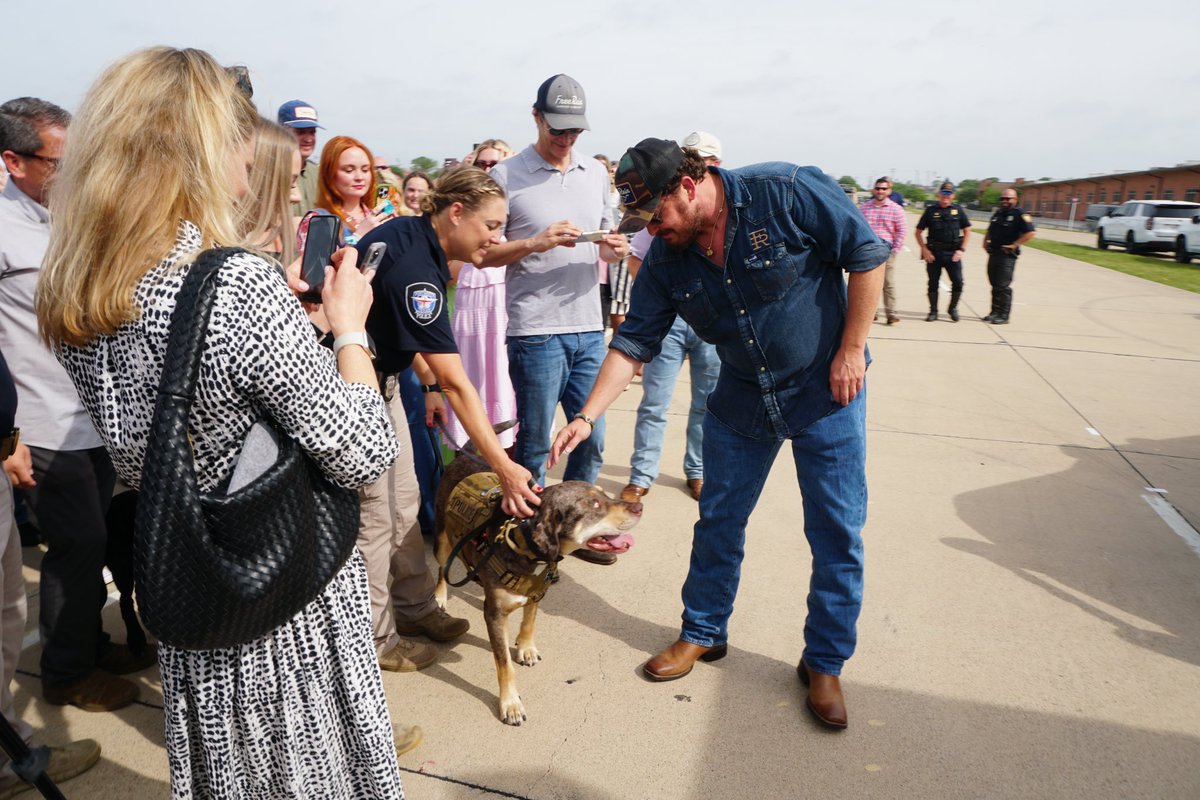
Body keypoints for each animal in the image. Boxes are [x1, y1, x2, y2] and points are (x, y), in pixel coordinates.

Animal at [434, 450, 643, 724]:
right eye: (594, 505)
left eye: (604, 494)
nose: (639, 506)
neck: (521, 543)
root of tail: (463, 455)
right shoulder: (494, 614)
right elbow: (504, 665)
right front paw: (510, 703)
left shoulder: (537, 591)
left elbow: (529, 622)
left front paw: (526, 648)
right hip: (442, 541)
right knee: (440, 569)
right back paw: (439, 596)